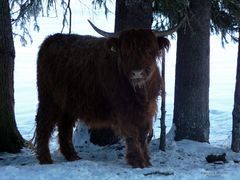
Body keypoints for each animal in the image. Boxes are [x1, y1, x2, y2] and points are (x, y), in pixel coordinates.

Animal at [34, 22, 174, 167]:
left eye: (149, 51)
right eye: (126, 52)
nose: (137, 73)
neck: (139, 92)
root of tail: (51, 39)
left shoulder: (148, 108)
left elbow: (142, 134)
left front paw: (146, 161)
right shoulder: (123, 109)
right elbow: (132, 134)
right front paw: (137, 161)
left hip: (68, 102)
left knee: (64, 126)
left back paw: (72, 156)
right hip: (48, 97)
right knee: (44, 123)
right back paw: (45, 159)